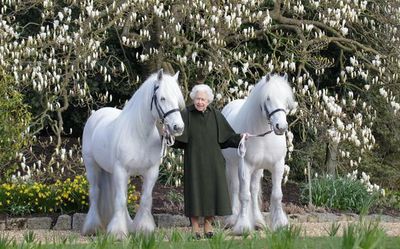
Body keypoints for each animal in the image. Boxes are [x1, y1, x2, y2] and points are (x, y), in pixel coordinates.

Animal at [83, 69, 186, 238]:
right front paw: (118, 232)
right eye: (162, 98)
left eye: (178, 99)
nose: (178, 127)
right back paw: (93, 227)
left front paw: (143, 229)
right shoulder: (121, 170)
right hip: (92, 166)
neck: (140, 134)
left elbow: (145, 199)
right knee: (95, 193)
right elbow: (120, 199)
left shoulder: (151, 172)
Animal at [222, 73, 294, 234]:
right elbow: (244, 195)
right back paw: (232, 219)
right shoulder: (245, 166)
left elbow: (276, 195)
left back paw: (258, 221)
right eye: (268, 98)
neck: (263, 136)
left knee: (254, 191)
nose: (281, 127)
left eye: (286, 99)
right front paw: (242, 226)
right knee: (235, 189)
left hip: (258, 169)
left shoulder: (278, 165)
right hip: (232, 165)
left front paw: (280, 224)